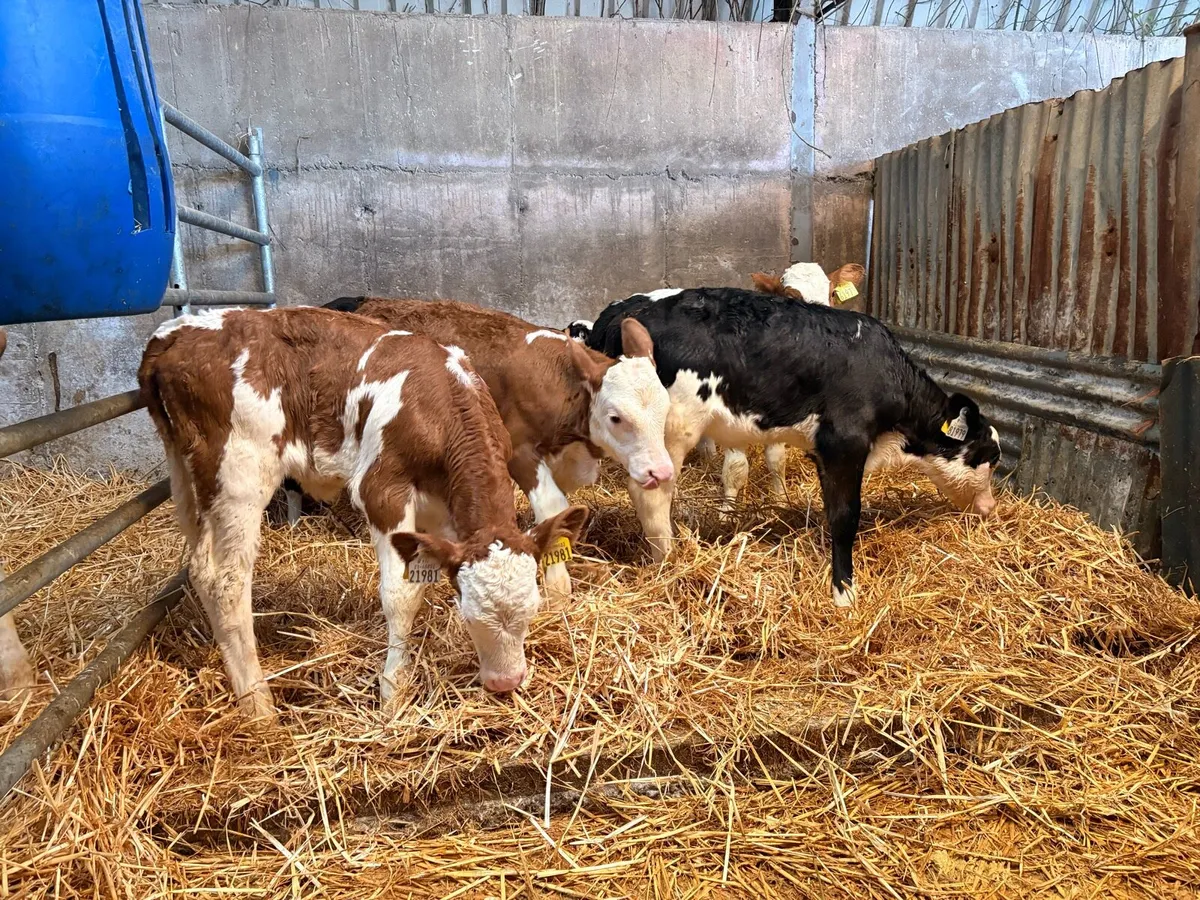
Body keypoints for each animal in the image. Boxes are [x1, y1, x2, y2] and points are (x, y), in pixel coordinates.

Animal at [139, 306, 588, 720]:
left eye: (532, 610)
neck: (442, 401)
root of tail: (173, 333)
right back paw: (257, 703)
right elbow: (401, 596)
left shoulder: (440, 514)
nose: (506, 683)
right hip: (239, 472)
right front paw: (393, 691)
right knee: (225, 580)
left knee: (199, 564)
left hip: (185, 470)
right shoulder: (382, 493)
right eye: (469, 616)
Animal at [318, 297, 673, 601]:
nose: (661, 470)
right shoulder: (518, 450)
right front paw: (559, 590)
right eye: (616, 417)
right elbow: (552, 505)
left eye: (665, 409)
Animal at [583, 288, 1000, 607]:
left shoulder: (822, 450)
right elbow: (845, 516)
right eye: (992, 459)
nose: (990, 507)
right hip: (670, 430)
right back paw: (669, 562)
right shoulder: (845, 443)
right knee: (650, 494)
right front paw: (844, 592)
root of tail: (622, 312)